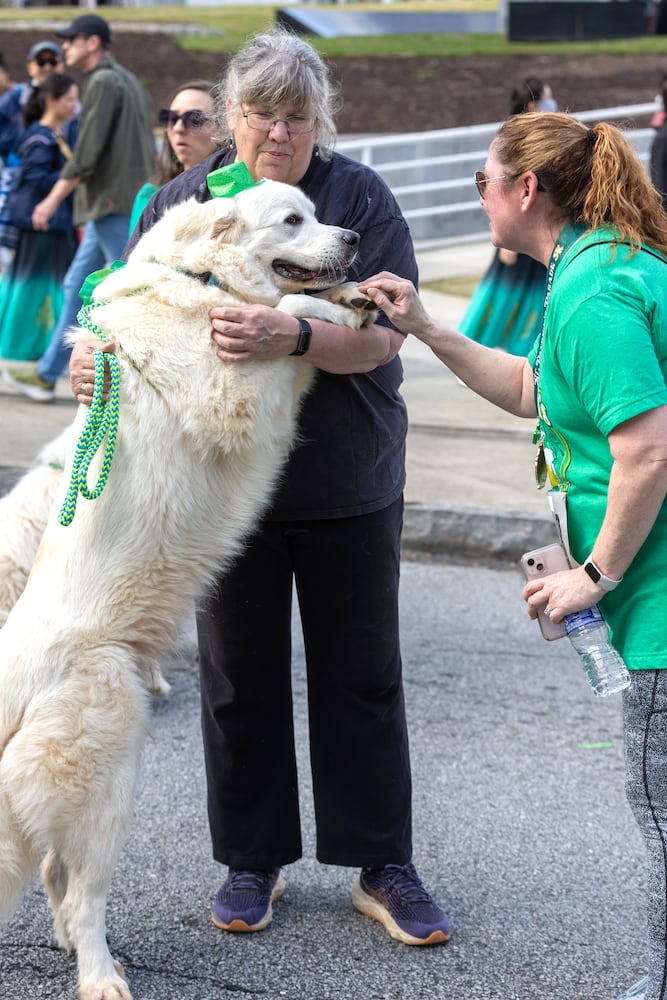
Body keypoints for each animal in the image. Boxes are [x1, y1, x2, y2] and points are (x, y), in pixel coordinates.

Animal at [0, 182, 376, 1000]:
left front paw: (356, 297)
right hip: (106, 768)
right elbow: (291, 311)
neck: (199, 279)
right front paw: (327, 308)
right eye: (291, 220)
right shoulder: (234, 387)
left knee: (54, 874)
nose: (356, 238)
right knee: (80, 891)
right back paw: (100, 975)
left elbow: (298, 306)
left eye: (316, 210)